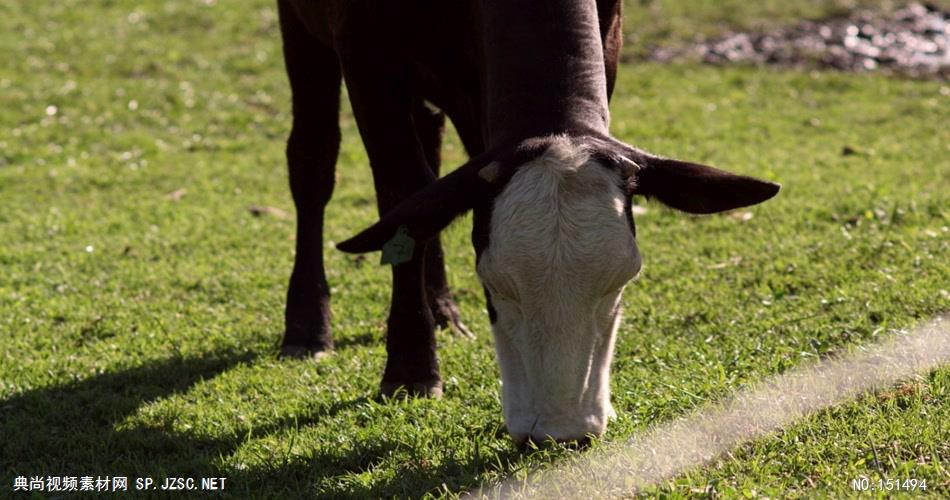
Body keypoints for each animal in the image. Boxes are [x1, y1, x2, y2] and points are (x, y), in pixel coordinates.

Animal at [278, 0, 780, 446]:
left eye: (621, 281)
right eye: (494, 285)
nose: (560, 432)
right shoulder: (365, 54)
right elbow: (401, 194)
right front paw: (410, 371)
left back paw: (442, 309)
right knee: (314, 161)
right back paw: (307, 329)